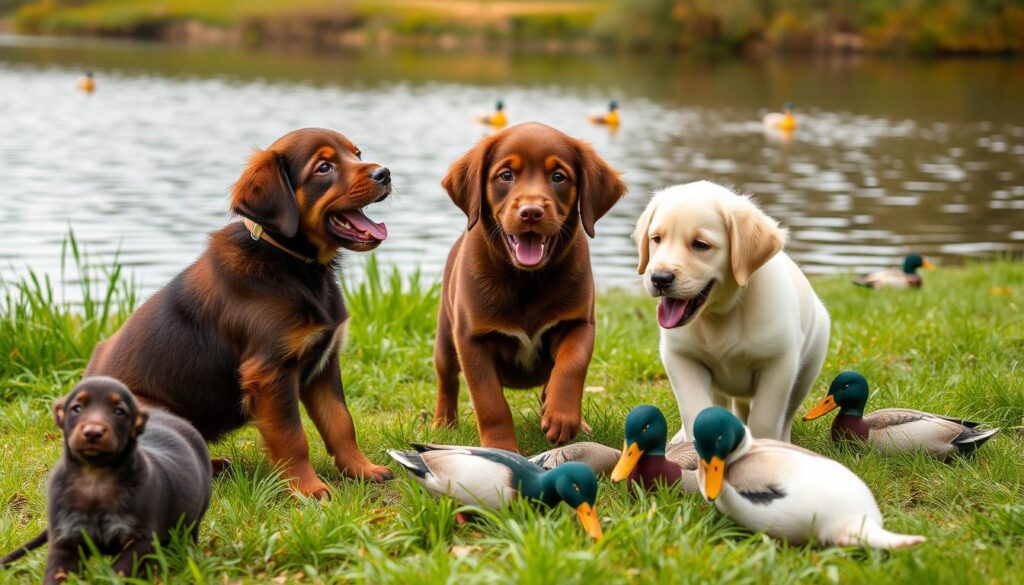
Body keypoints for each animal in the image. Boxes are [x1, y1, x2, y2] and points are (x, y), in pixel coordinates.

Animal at [1, 377, 209, 581]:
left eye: (119, 411)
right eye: (76, 408)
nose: (93, 432)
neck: (96, 478)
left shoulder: (139, 540)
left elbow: (119, 573)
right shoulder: (66, 536)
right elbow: (57, 573)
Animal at [84, 128, 391, 499]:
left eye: (357, 153)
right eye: (324, 167)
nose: (385, 173)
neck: (292, 264)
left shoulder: (324, 363)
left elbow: (341, 423)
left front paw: (362, 469)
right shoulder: (270, 371)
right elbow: (293, 437)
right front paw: (307, 488)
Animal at [430, 123, 622, 452]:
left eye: (558, 176)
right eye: (506, 175)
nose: (531, 212)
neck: (525, 280)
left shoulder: (579, 322)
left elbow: (571, 365)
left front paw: (562, 416)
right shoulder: (471, 339)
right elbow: (490, 402)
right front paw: (501, 449)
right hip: (445, 337)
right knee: (447, 379)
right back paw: (443, 422)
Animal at [630, 181, 831, 442]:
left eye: (700, 244)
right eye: (656, 239)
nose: (659, 278)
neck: (721, 314)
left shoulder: (779, 364)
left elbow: (765, 419)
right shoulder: (680, 357)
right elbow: (695, 409)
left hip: (806, 372)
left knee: (785, 415)